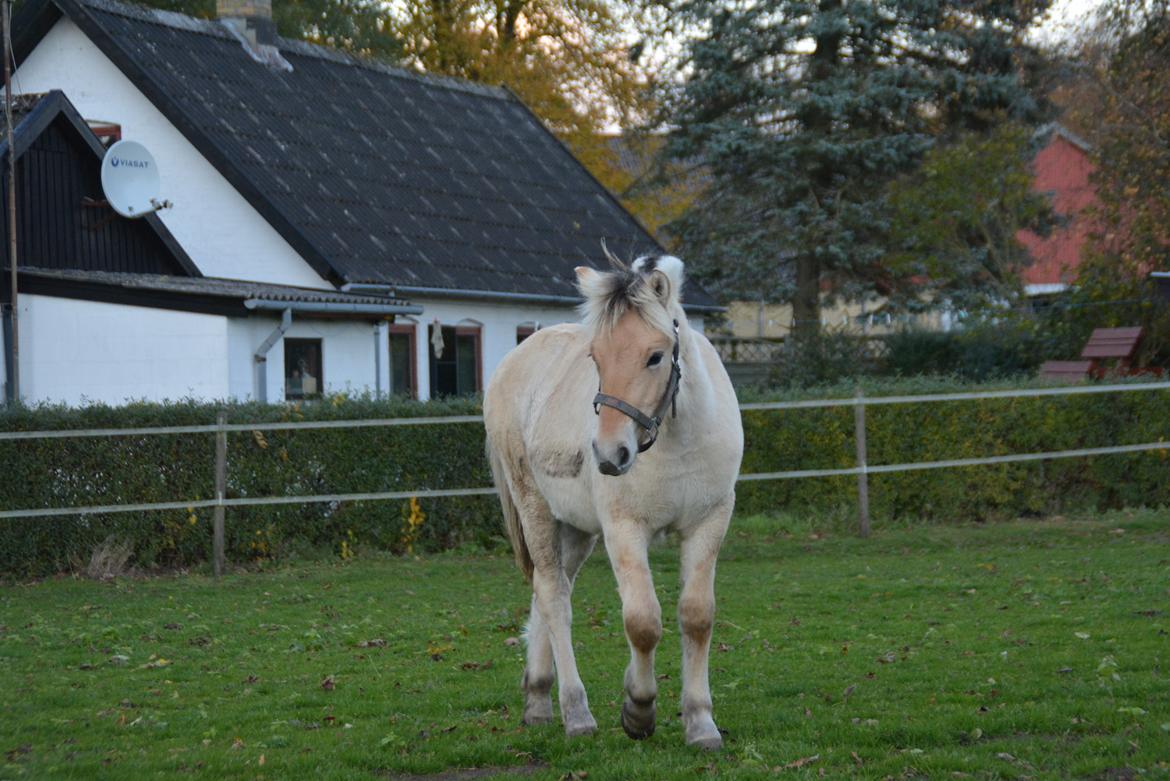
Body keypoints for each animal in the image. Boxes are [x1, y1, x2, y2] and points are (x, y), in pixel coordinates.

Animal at [482, 253, 739, 748]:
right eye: (595, 357)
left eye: (655, 356)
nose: (608, 454)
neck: (677, 440)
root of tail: (513, 361)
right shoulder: (623, 529)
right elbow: (642, 621)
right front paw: (638, 710)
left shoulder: (709, 523)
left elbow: (697, 617)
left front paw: (700, 722)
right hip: (535, 508)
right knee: (554, 596)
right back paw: (575, 712)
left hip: (576, 529)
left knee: (549, 590)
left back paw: (538, 698)